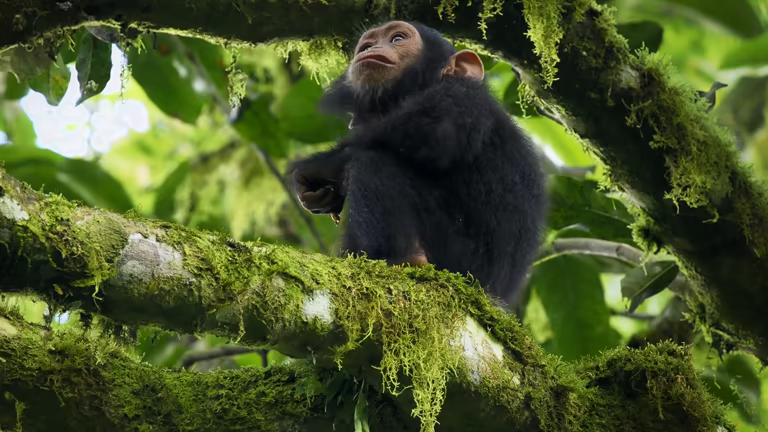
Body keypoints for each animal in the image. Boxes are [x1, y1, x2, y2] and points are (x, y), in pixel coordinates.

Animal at [288, 21, 547, 304]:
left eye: (397, 39)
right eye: (366, 46)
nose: (372, 49)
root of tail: (495, 297)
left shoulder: (463, 97)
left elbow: (436, 132)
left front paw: (323, 168)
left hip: (460, 261)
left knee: (373, 161)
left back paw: (408, 259)